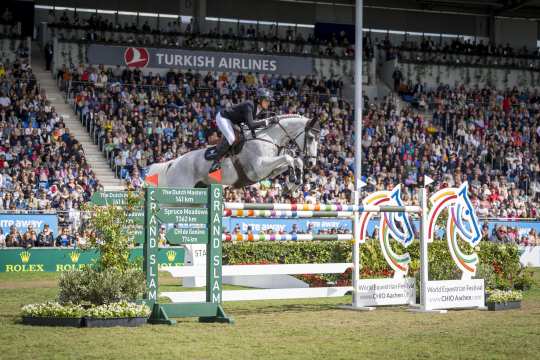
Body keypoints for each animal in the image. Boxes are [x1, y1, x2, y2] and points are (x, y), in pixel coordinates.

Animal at [146, 114, 318, 188]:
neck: (268, 137)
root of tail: (172, 163)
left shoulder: (269, 171)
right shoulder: (258, 168)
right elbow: (289, 158)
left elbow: (294, 160)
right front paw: (295, 179)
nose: (312, 162)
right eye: (310, 137)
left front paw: (295, 181)